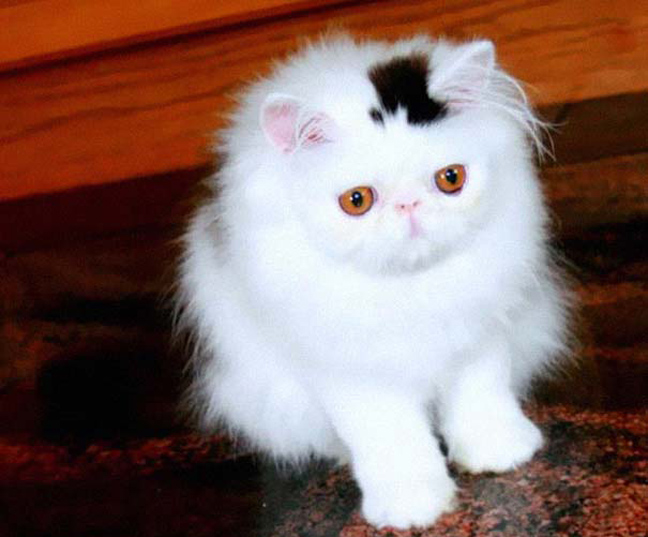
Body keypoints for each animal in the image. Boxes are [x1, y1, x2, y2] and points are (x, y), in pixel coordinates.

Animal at [175, 34, 571, 529]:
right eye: (357, 201)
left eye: (451, 179)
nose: (409, 206)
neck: (411, 288)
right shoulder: (354, 373)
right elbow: (393, 437)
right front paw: (414, 506)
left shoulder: (478, 336)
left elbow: (481, 396)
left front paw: (501, 453)